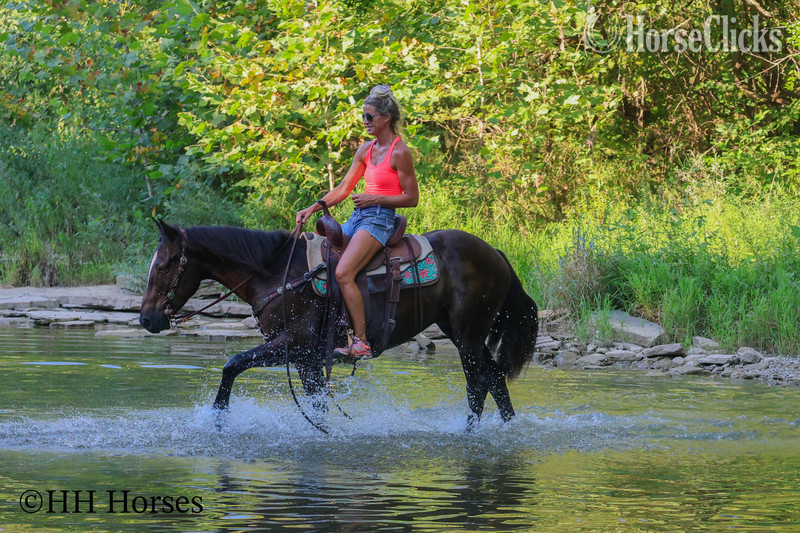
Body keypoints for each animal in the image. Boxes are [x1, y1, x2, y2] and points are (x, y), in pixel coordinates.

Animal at [138, 219, 538, 427]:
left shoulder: (294, 344)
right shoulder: (307, 359)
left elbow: (232, 364)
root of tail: (495, 253)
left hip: (468, 335)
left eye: (165, 265)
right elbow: (317, 403)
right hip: (461, 333)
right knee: (494, 377)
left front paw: (218, 419)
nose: (146, 318)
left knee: (477, 383)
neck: (276, 273)